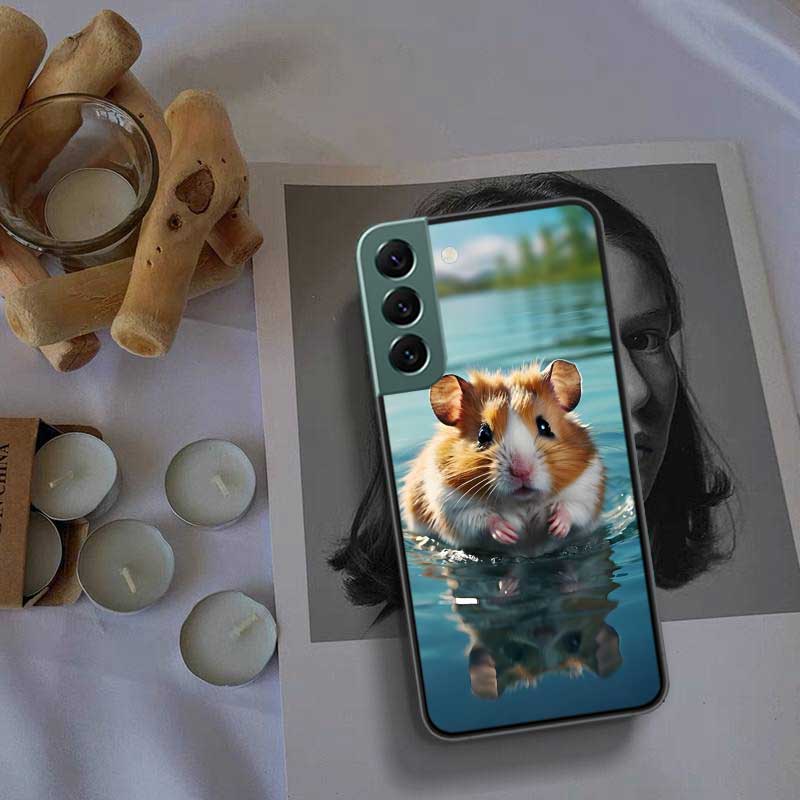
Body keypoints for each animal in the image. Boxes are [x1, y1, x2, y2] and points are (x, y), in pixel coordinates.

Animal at [401, 360, 605, 557]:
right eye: (483, 434)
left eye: (545, 426)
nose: (521, 472)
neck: (524, 502)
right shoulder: (452, 505)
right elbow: (479, 520)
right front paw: (508, 533)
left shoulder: (587, 488)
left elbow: (573, 509)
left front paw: (556, 526)